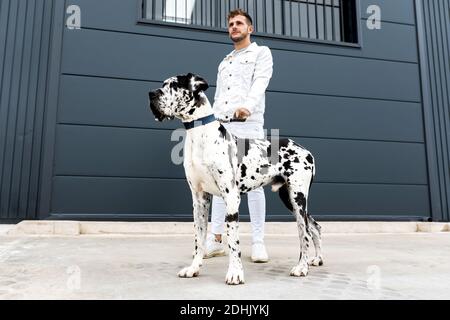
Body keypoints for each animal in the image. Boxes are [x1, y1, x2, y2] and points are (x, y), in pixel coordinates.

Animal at [149, 73, 322, 284]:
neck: (200, 136)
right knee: (314, 226)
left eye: (174, 85)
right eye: (162, 84)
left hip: (298, 199)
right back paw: (317, 259)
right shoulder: (199, 199)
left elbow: (233, 241)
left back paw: (302, 267)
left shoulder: (231, 197)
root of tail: (306, 151)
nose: (151, 94)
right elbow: (199, 239)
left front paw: (235, 273)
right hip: (289, 198)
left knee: (304, 232)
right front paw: (194, 268)